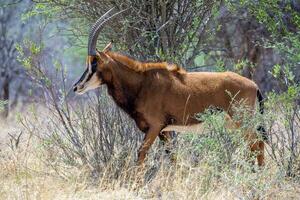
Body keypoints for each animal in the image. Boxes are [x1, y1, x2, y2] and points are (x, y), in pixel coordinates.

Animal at [73, 8, 268, 166]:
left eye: (94, 64)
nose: (77, 87)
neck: (142, 83)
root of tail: (253, 85)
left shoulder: (154, 127)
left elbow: (141, 154)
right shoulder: (164, 132)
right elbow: (172, 157)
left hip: (242, 121)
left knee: (256, 145)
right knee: (256, 145)